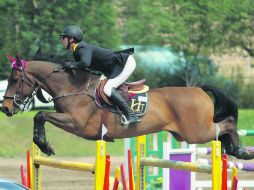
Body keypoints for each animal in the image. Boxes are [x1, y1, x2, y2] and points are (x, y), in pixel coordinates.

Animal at [1, 54, 254, 160]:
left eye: (15, 79)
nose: (5, 108)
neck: (72, 86)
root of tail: (199, 89)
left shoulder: (77, 124)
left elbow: (41, 115)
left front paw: (45, 146)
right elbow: (41, 116)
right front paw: (43, 144)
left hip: (196, 132)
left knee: (227, 123)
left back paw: (240, 150)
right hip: (189, 133)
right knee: (223, 128)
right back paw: (233, 150)